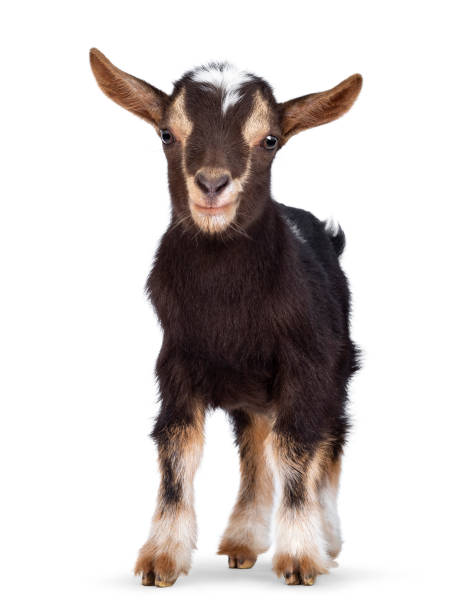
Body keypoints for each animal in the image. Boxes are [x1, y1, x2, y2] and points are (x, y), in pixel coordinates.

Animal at [90, 49, 362, 588]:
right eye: (166, 133)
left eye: (270, 139)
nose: (213, 185)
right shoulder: (176, 363)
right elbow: (178, 449)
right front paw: (161, 559)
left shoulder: (307, 363)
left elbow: (298, 445)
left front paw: (300, 557)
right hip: (250, 392)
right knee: (255, 443)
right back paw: (243, 541)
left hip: (338, 364)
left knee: (328, 436)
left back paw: (328, 538)